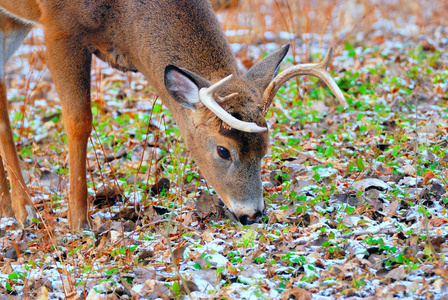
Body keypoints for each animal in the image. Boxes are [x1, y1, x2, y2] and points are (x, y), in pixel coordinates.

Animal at [0, 0, 346, 230]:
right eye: (223, 150)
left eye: (264, 149)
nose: (252, 214)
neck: (121, 20)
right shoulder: (59, 26)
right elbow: (78, 121)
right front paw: (79, 222)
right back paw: (25, 210)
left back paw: (12, 208)